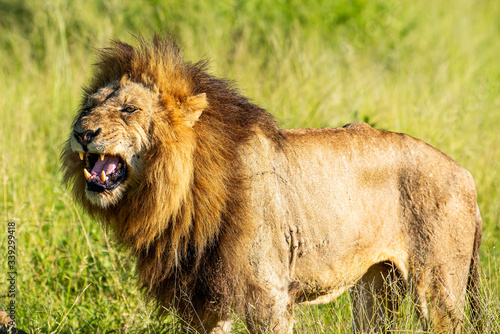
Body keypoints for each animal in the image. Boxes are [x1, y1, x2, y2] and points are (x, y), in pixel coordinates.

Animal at [60, 35, 482, 332]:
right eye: (89, 106)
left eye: (129, 109)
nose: (82, 133)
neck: (183, 191)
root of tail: (467, 176)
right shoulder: (202, 302)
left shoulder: (270, 295)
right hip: (375, 289)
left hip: (438, 291)